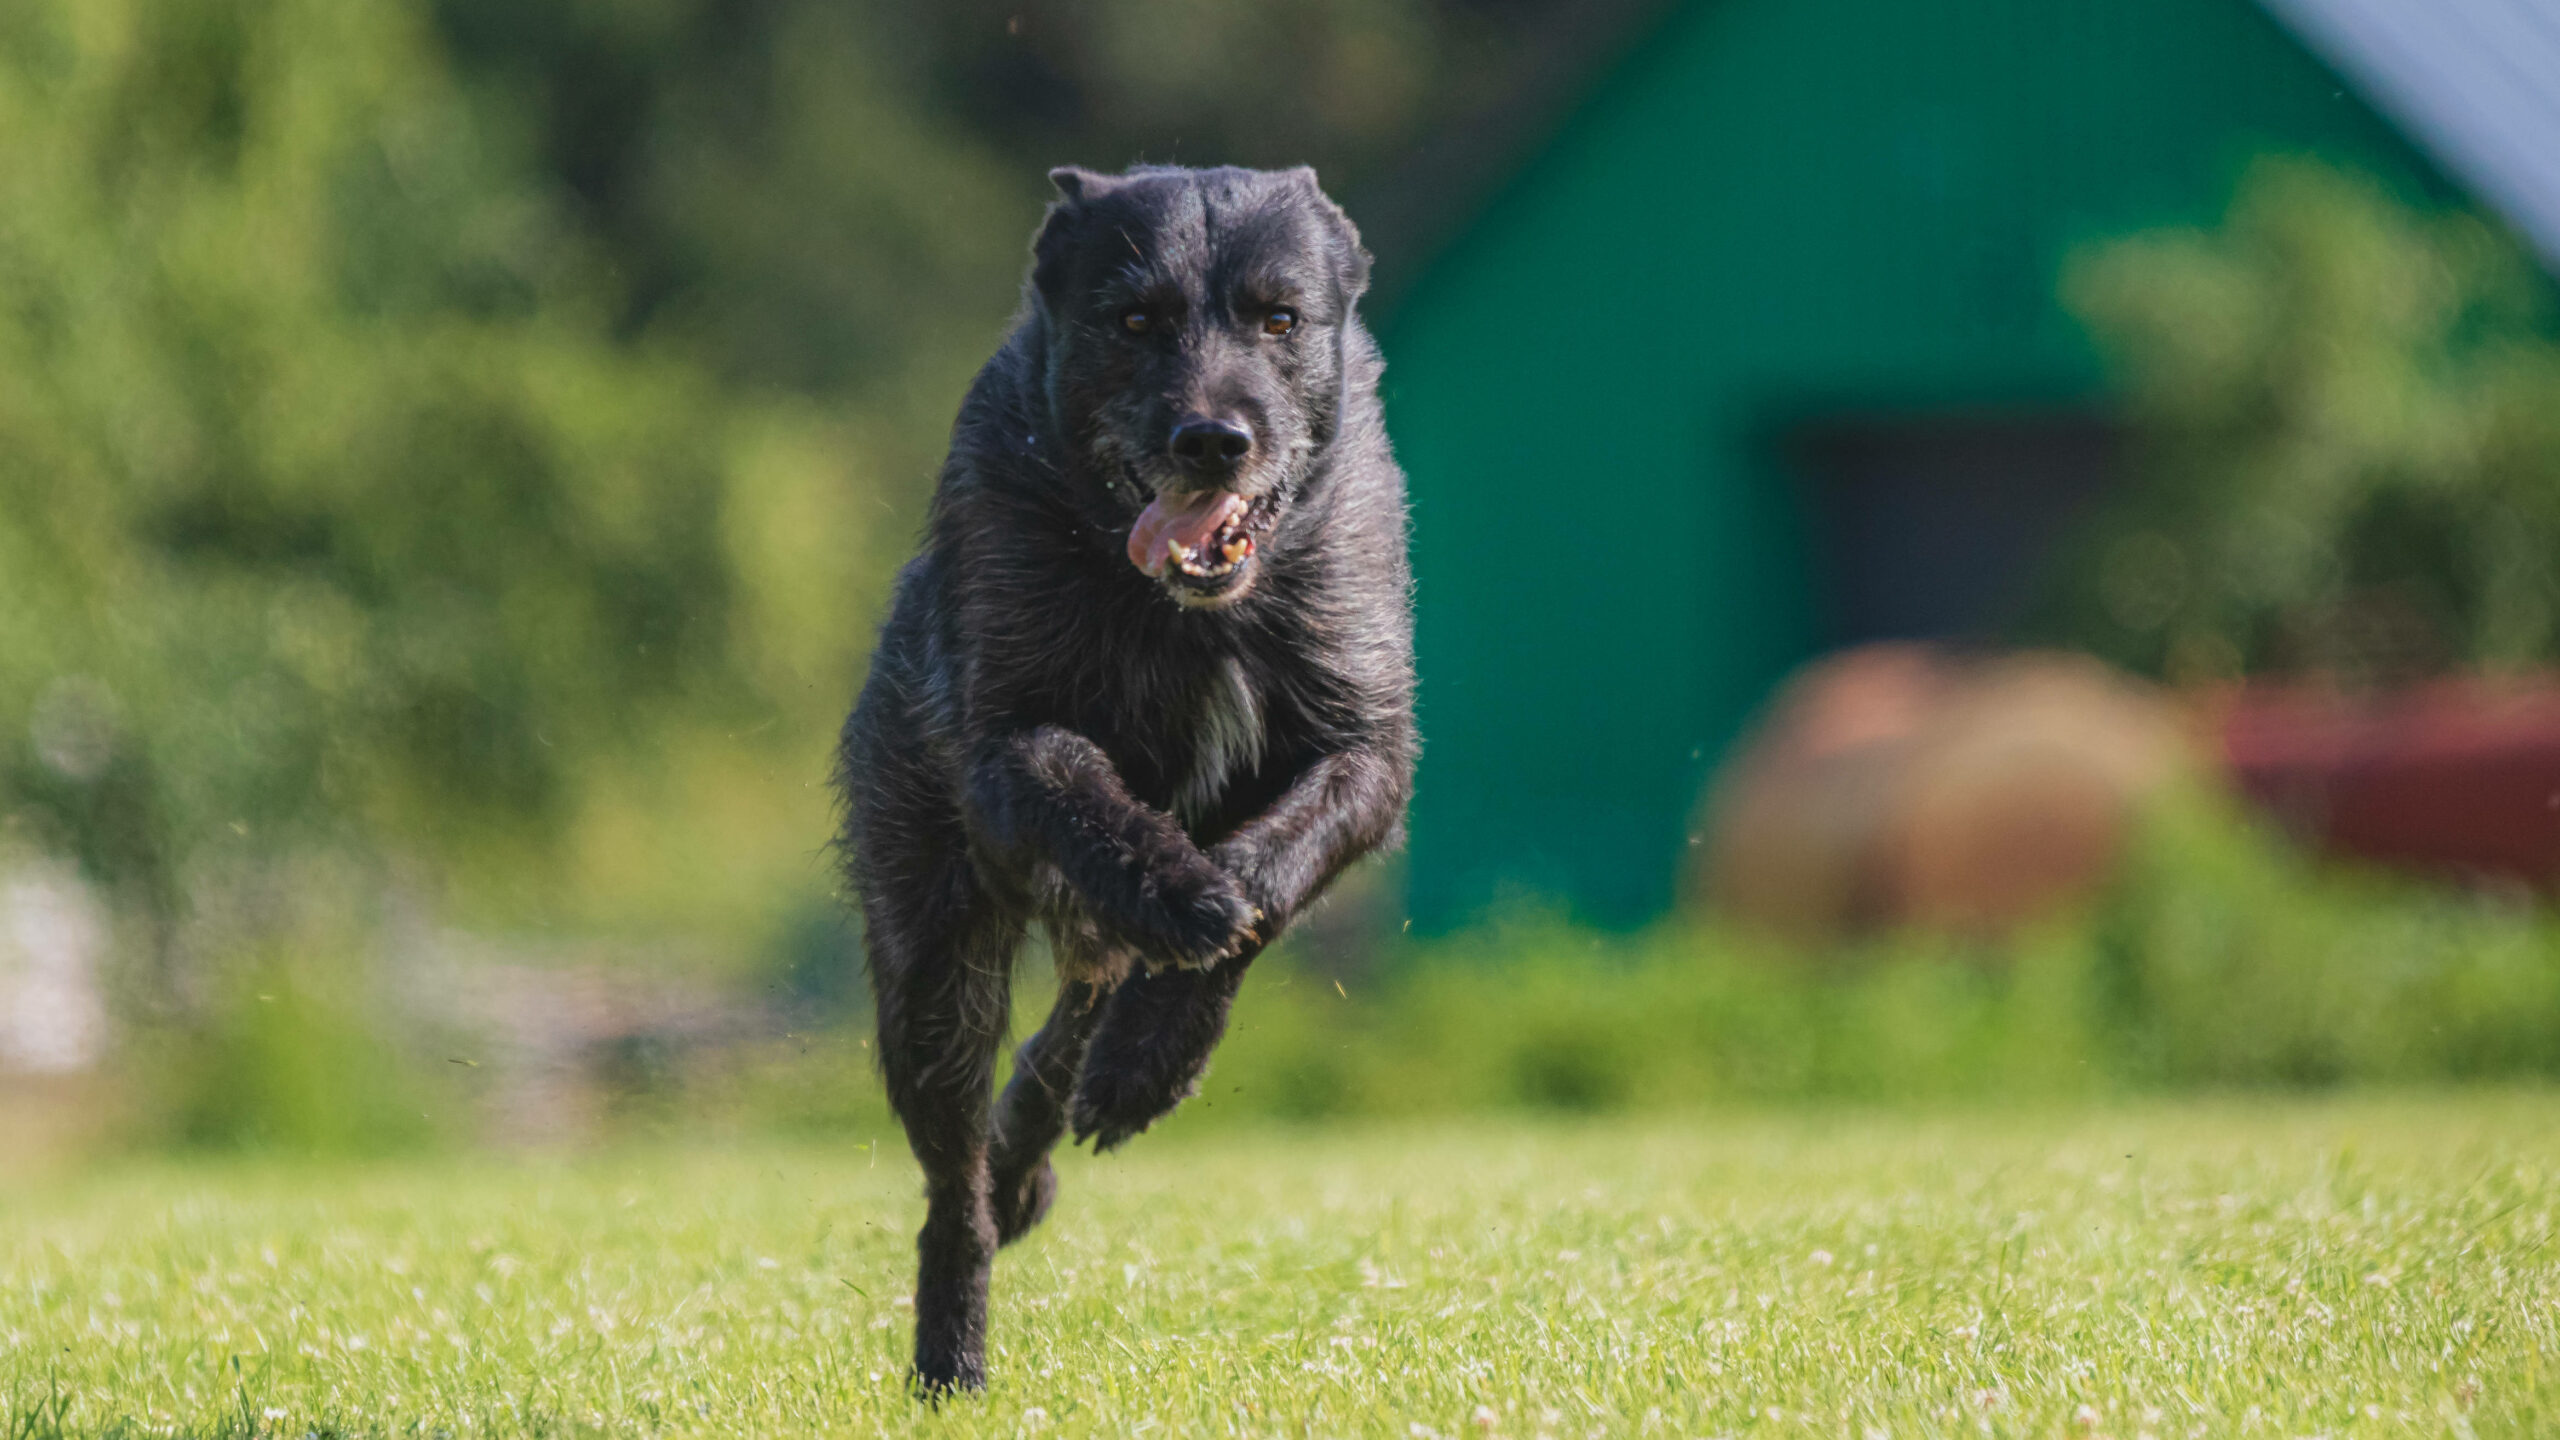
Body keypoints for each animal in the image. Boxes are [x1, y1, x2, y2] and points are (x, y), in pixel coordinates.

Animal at [829, 165, 1413, 1393]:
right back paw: (952, 1348)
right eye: (1135, 320)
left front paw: (1160, 1040)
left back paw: (1078, 1107)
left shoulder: (1364, 744)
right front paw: (1179, 887)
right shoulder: (1003, 747)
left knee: (1066, 1036)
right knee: (955, 1177)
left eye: (1279, 318)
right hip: (934, 958)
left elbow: (1272, 871)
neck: (1189, 614)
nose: (1212, 439)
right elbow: (1079, 780)